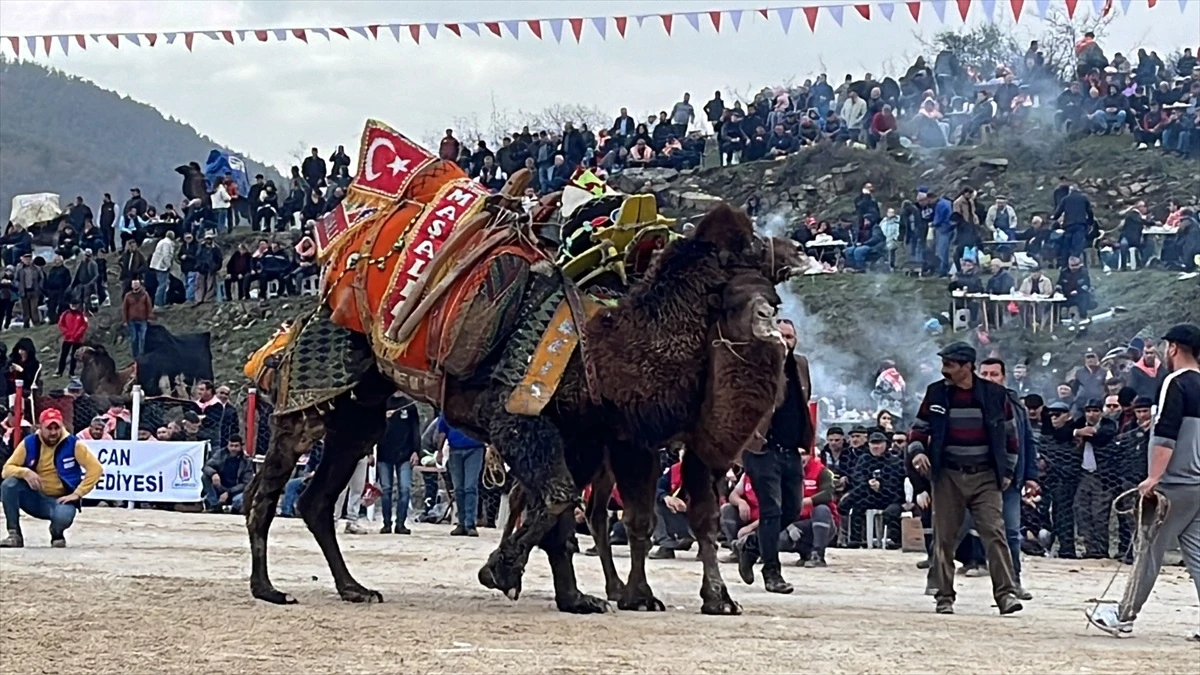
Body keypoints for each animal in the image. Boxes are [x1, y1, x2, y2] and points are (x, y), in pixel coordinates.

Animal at [241, 166, 806, 610]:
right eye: (748, 249)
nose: (797, 249)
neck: (603, 345)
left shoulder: (583, 434)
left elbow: (567, 515)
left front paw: (575, 598)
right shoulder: (521, 414)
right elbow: (558, 501)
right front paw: (503, 572)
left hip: (360, 415)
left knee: (316, 499)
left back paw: (354, 588)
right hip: (314, 388)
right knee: (267, 487)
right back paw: (267, 588)